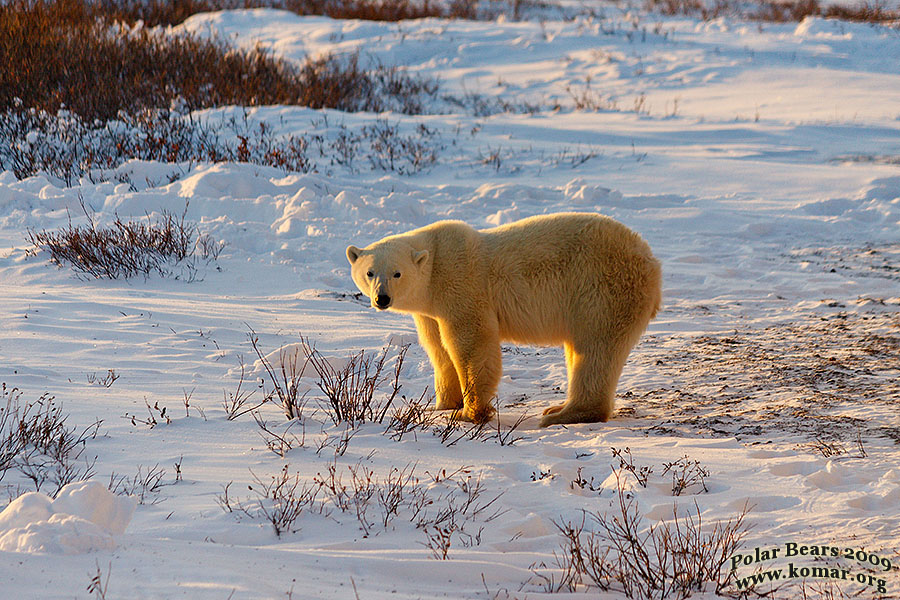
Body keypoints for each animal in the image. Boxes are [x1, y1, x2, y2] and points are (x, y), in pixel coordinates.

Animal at [344, 212, 660, 426]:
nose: (382, 299)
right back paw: (557, 408)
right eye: (370, 272)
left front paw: (469, 413)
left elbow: (472, 343)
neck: (434, 267)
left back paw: (564, 414)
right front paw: (443, 404)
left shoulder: (461, 284)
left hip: (601, 291)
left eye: (397, 273)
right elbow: (439, 349)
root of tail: (651, 261)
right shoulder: (429, 311)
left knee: (594, 350)